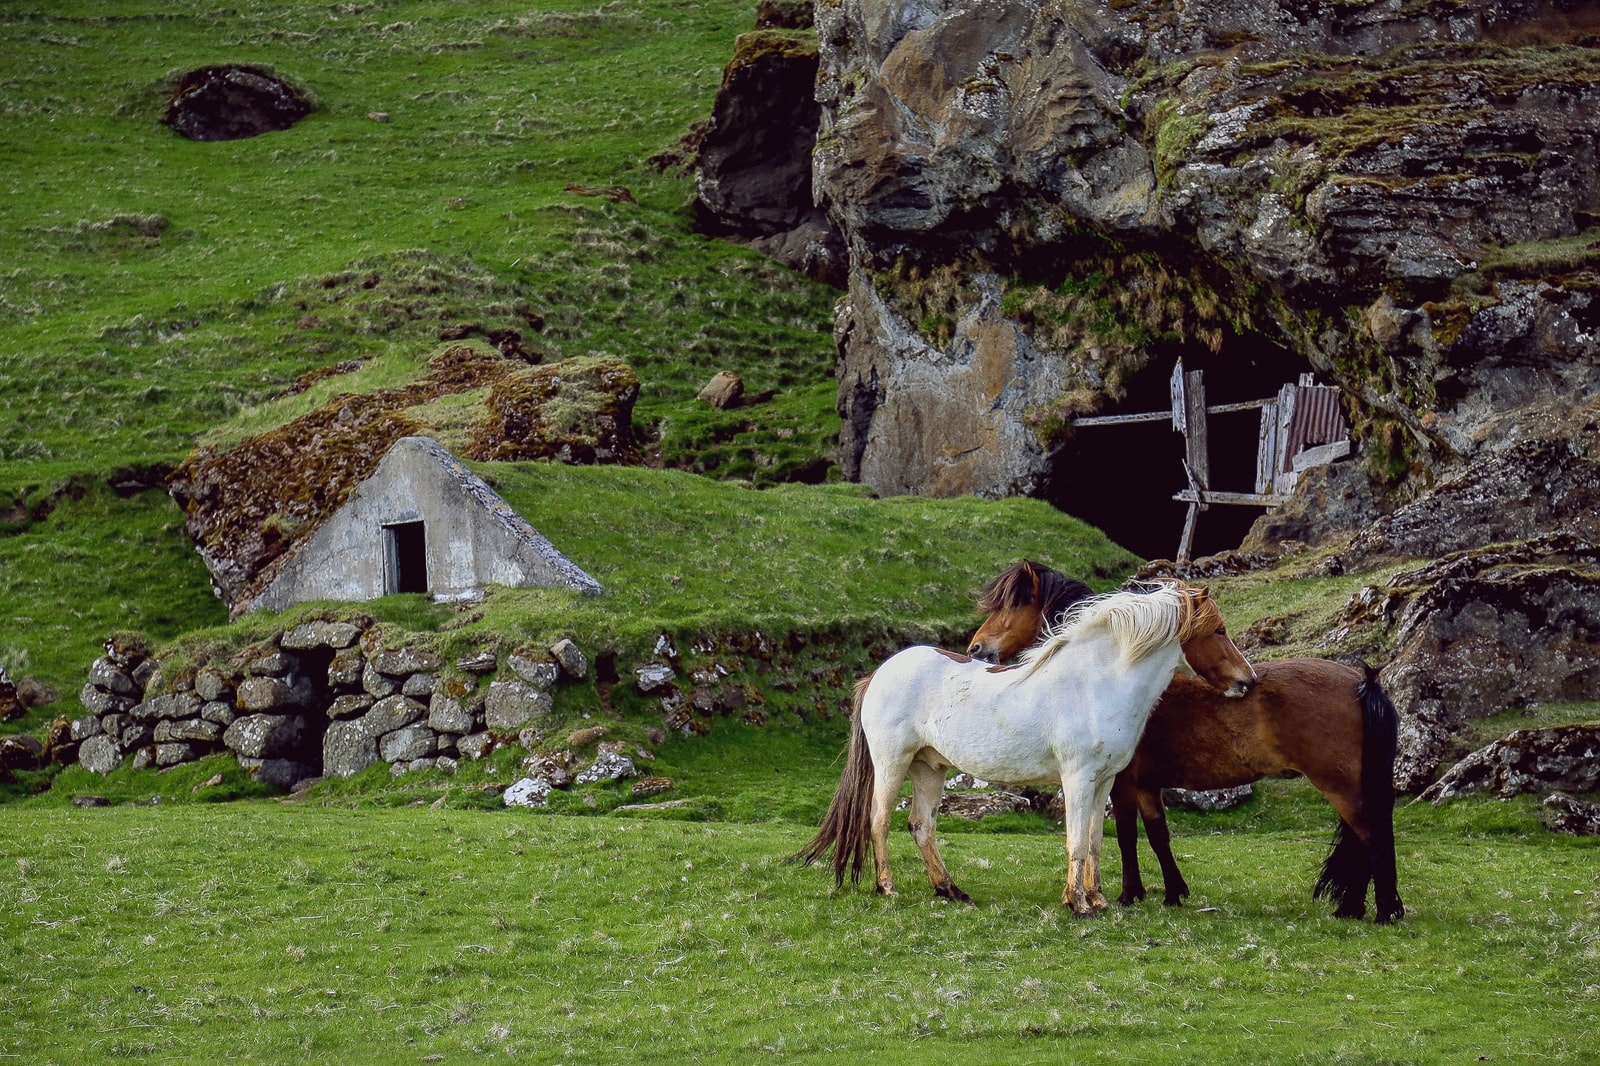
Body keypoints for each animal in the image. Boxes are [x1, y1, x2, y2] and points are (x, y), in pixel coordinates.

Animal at [796, 581, 1256, 915]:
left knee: (922, 826)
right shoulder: (1077, 779)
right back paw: (887, 887)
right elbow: (1076, 841)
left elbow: (1095, 841)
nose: (1247, 681)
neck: (1096, 684)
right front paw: (1078, 904)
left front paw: (1099, 899)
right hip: (893, 763)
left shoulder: (1104, 782)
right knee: (879, 821)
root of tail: (878, 674)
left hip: (930, 768)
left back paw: (950, 890)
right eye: (1218, 631)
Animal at [968, 559, 1404, 924]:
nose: (975, 648)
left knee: (1372, 836)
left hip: (1341, 786)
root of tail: (1362, 681)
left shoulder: (1123, 782)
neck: (1113, 676)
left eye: (1010, 607)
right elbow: (1158, 834)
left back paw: (1382, 911)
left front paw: (1130, 894)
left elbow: (1126, 834)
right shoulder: (1146, 785)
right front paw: (1173, 892)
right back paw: (1355, 908)